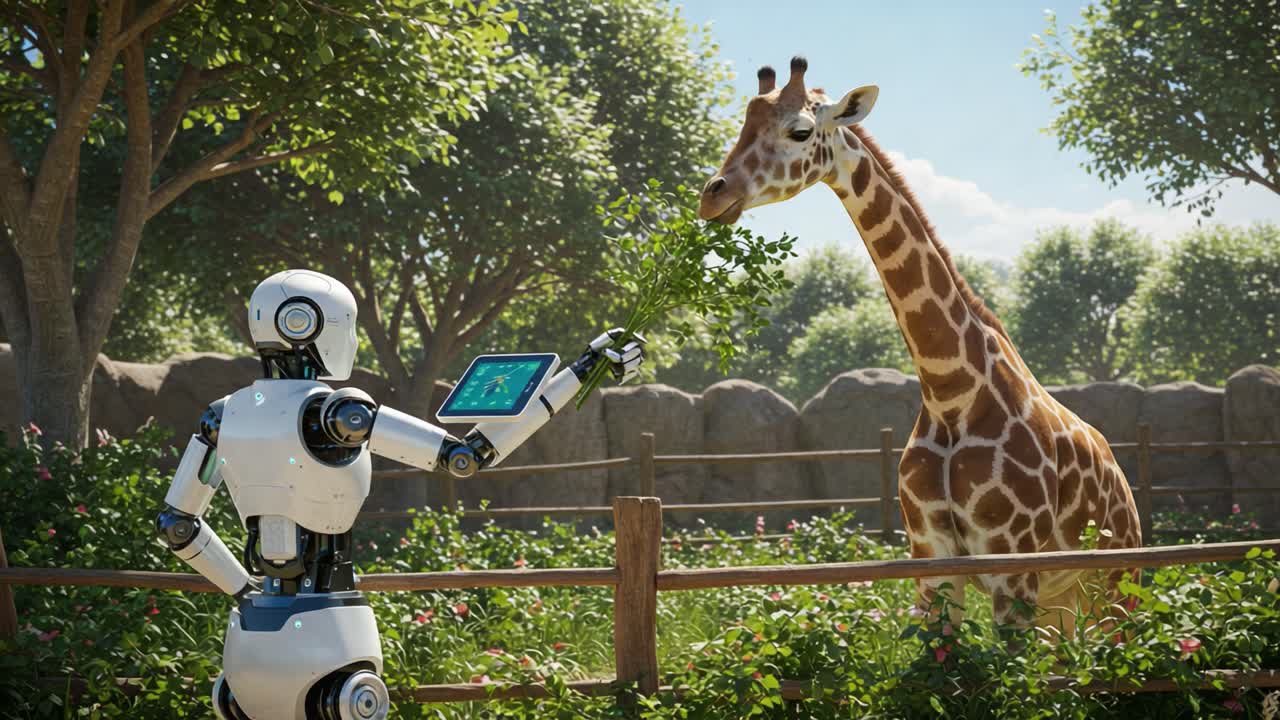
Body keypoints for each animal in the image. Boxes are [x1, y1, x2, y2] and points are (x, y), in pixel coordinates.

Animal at [698, 57, 1142, 633]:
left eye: (799, 131)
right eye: (743, 124)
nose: (713, 194)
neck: (950, 392)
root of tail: (1126, 486)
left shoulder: (1012, 565)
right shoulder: (932, 562)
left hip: (1116, 585)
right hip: (1062, 601)